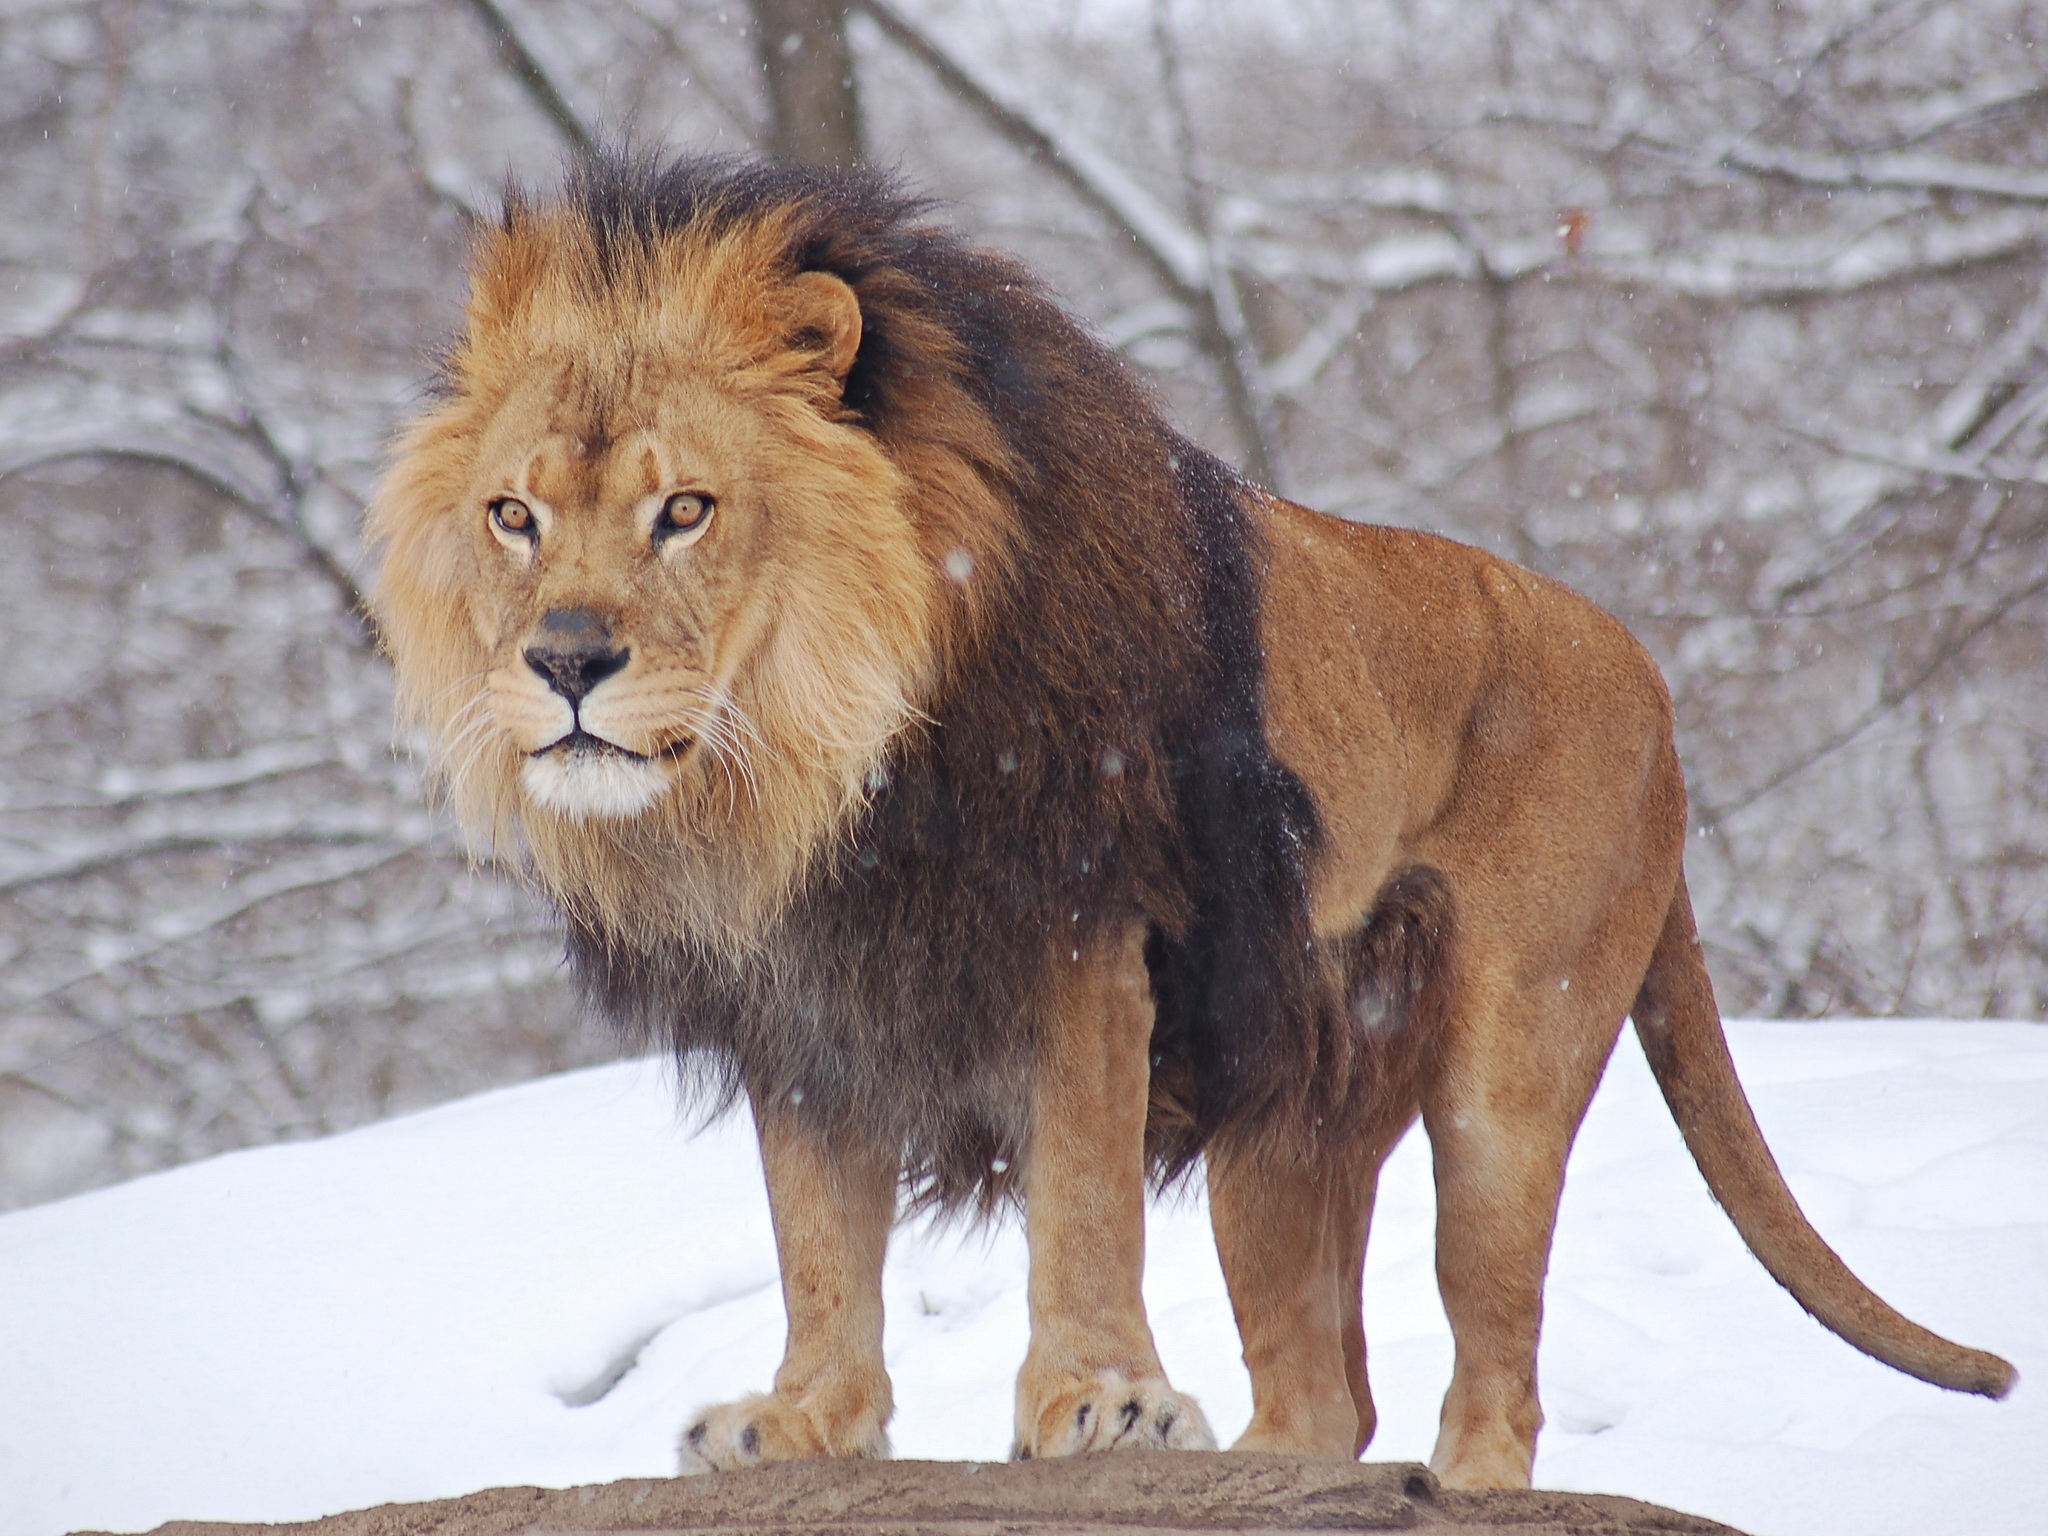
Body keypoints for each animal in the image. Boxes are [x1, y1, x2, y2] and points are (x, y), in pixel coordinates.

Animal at [360, 153, 2007, 1490]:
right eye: (514, 517)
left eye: (685, 510)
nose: (566, 663)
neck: (818, 775)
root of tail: (1653, 684)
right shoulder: (806, 1000)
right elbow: (817, 1237)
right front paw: (802, 1421)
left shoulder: (1083, 926)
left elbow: (1081, 1192)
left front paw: (1097, 1403)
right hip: (1282, 1126)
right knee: (1328, 1395)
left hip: (1507, 1072)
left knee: (1496, 1366)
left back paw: (1451, 1479)